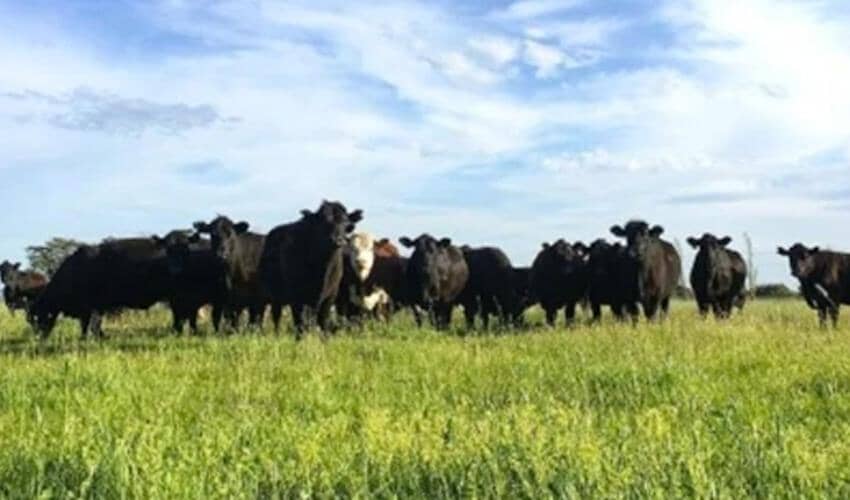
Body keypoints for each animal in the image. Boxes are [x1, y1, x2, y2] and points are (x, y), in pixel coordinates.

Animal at [30, 238, 171, 338]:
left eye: (38, 318)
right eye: (30, 321)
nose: (38, 337)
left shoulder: (90, 308)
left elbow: (90, 325)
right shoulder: (96, 308)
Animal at [259, 201, 363, 337]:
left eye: (347, 225)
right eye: (325, 222)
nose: (338, 240)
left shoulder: (330, 296)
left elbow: (323, 323)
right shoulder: (296, 297)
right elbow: (299, 324)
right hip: (274, 294)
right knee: (277, 316)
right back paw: (277, 336)